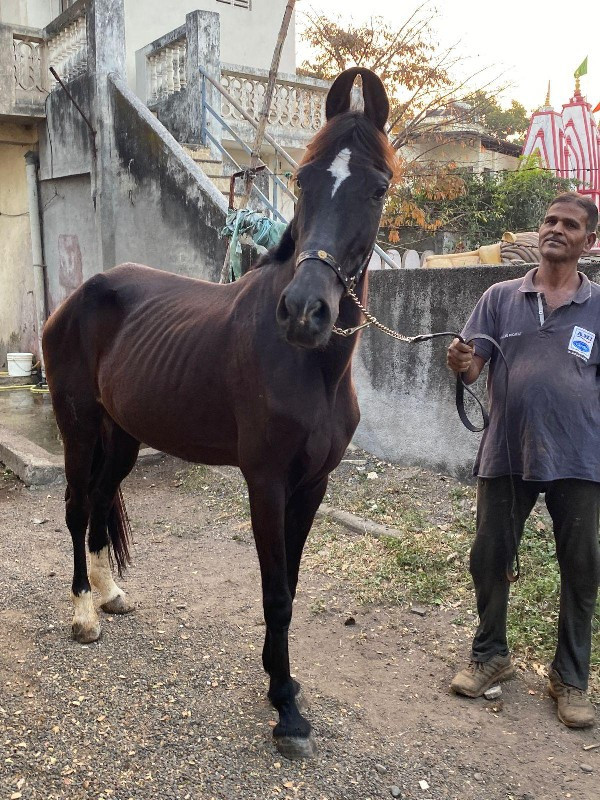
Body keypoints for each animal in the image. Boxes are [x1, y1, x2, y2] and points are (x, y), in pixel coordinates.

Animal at [43, 67, 398, 756]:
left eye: (378, 188)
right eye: (302, 180)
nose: (305, 311)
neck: (309, 368)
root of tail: (75, 298)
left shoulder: (313, 486)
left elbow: (290, 584)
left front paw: (281, 680)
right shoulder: (265, 483)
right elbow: (277, 592)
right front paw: (286, 708)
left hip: (121, 437)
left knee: (98, 502)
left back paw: (109, 595)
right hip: (78, 428)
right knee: (75, 508)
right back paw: (81, 613)